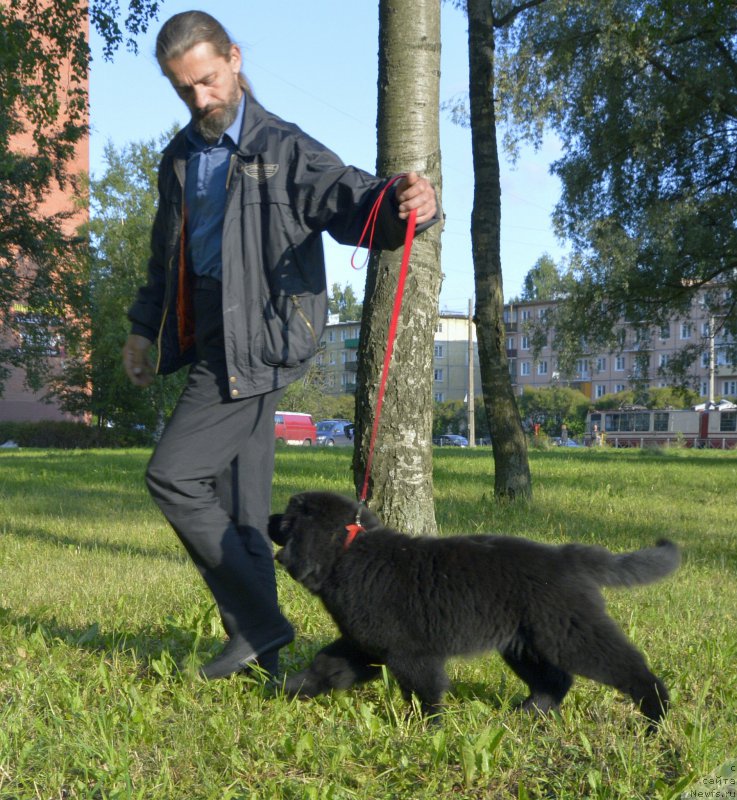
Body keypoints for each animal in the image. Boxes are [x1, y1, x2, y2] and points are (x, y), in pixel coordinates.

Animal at [268, 490, 680, 728]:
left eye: (287, 519)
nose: (269, 518)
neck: (351, 552)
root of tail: (567, 556)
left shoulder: (409, 653)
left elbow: (424, 693)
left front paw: (427, 731)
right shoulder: (363, 645)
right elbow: (325, 668)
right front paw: (285, 690)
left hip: (570, 635)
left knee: (629, 669)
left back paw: (655, 717)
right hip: (524, 644)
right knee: (555, 681)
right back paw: (527, 716)